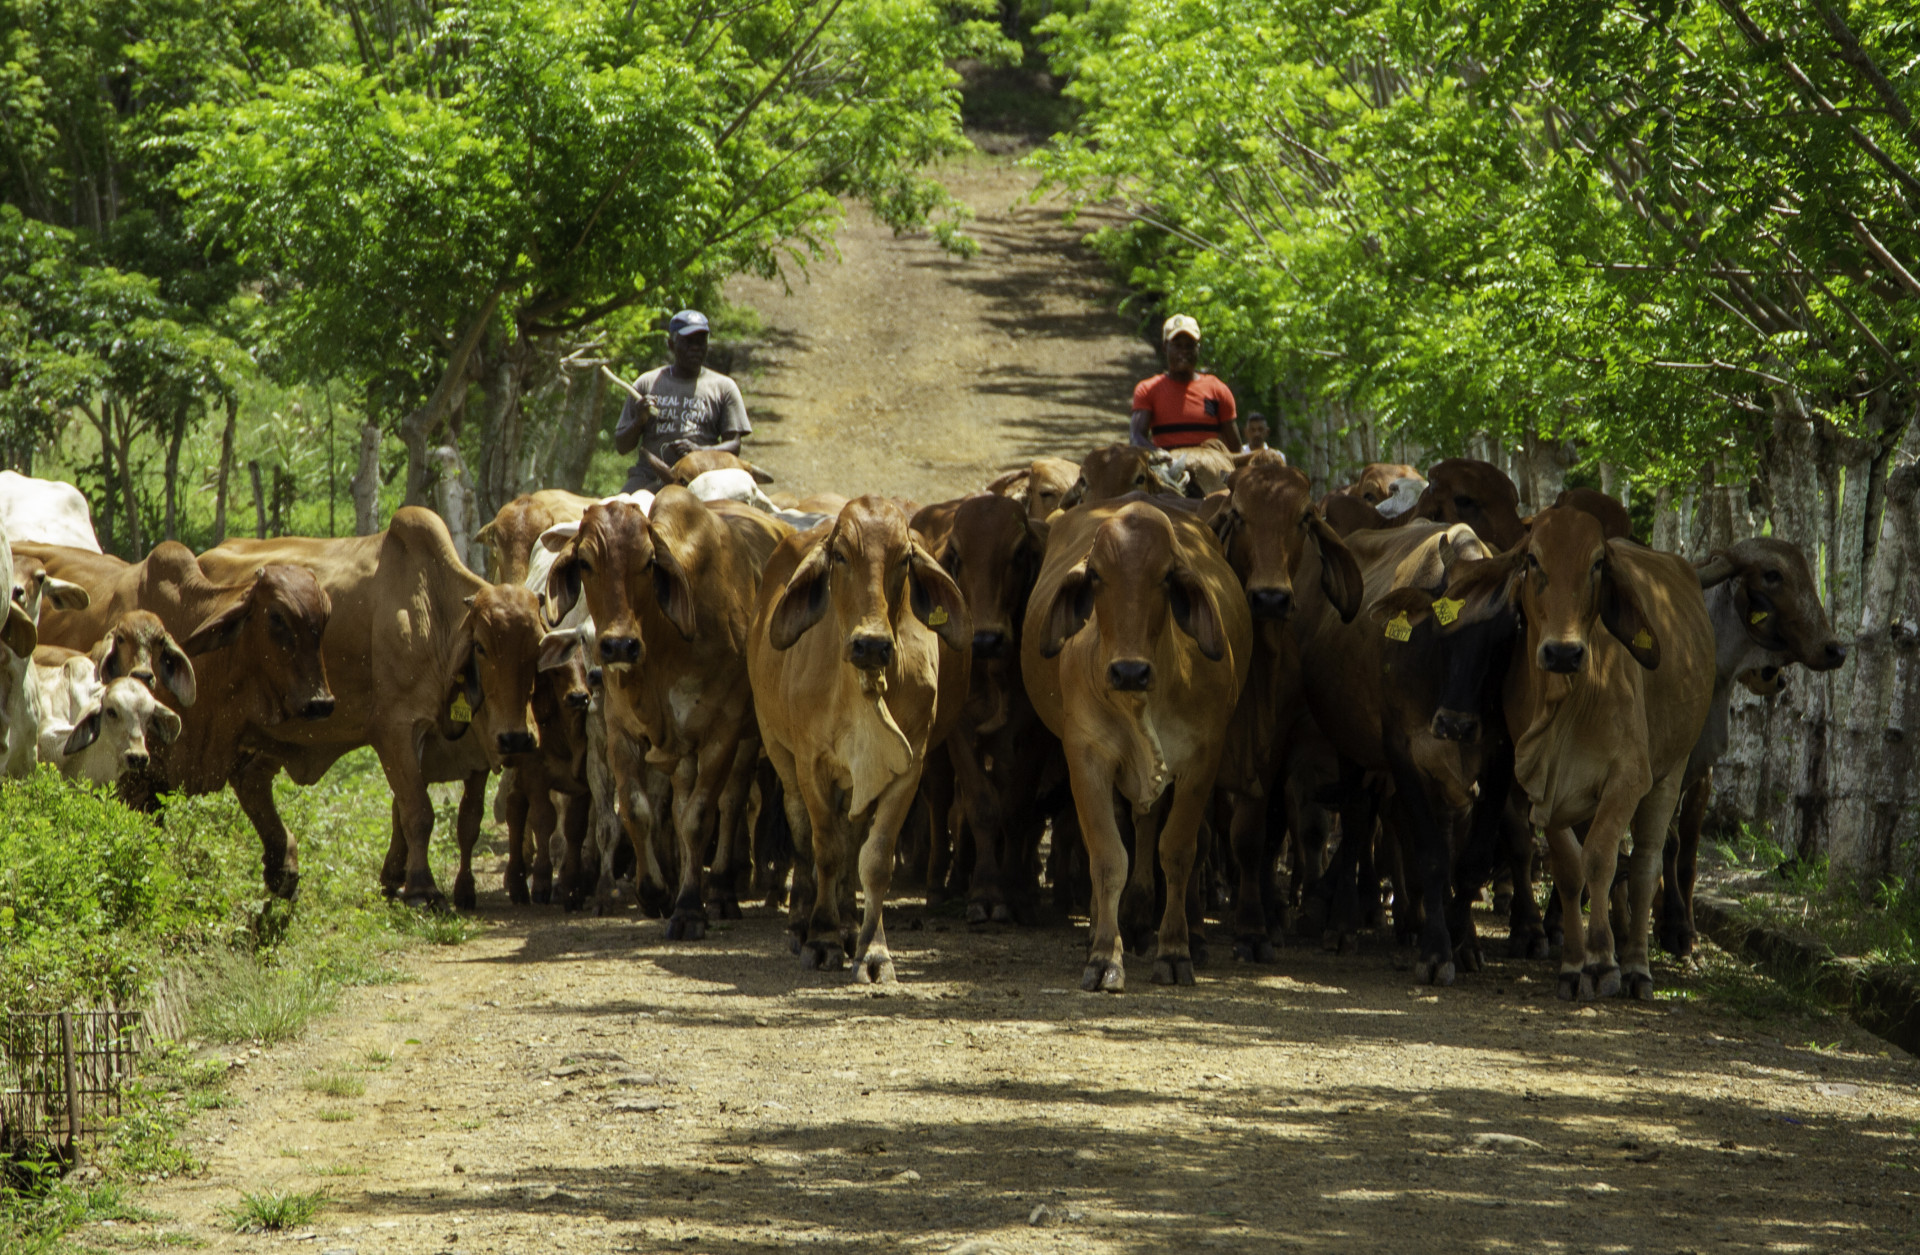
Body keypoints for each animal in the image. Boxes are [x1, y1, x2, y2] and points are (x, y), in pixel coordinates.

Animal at [196, 508, 542, 906]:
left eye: (538, 645)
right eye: (481, 646)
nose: (517, 739)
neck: (432, 608)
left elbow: (405, 810)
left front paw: (399, 880)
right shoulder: (394, 728)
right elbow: (418, 811)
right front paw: (421, 887)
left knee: (251, 782)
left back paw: (283, 869)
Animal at [544, 488, 789, 930]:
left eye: (648, 561)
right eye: (585, 561)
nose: (619, 647)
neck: (664, 644)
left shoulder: (721, 734)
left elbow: (698, 818)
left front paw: (690, 907)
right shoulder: (619, 733)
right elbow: (638, 811)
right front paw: (654, 891)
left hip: (747, 742)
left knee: (731, 804)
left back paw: (722, 890)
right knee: (674, 807)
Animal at [750, 496, 971, 980]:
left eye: (905, 558)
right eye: (839, 555)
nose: (871, 645)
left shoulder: (907, 768)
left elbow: (874, 858)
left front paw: (873, 951)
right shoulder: (812, 764)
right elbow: (826, 851)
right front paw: (822, 939)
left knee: (854, 841)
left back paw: (851, 924)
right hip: (779, 752)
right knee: (802, 834)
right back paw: (802, 924)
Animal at [1021, 495, 1252, 991]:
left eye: (1165, 575)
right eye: (1095, 575)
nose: (1129, 671)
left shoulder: (1201, 760)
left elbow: (1178, 851)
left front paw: (1175, 951)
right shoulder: (1086, 758)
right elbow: (1108, 857)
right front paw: (1104, 955)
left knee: (1149, 829)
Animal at [1423, 506, 1713, 1000]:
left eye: (1597, 563)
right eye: (1532, 560)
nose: (1562, 653)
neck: (1570, 704)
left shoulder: (1627, 779)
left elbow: (1600, 860)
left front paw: (1602, 962)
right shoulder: (1544, 788)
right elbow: (1569, 869)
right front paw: (1575, 965)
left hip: (1670, 772)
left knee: (1645, 866)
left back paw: (1636, 967)